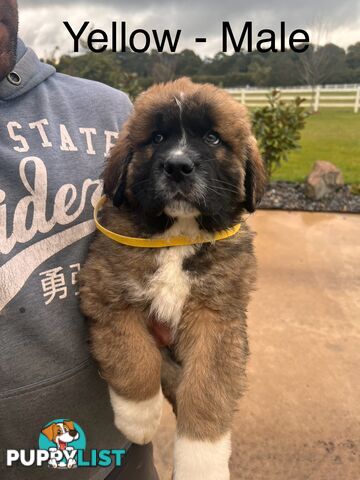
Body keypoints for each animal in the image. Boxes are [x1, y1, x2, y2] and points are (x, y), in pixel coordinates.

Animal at [79, 77, 264, 478]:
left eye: (212, 138)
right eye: (157, 137)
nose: (178, 166)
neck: (178, 234)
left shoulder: (217, 316)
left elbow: (207, 388)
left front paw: (202, 460)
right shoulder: (106, 293)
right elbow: (135, 358)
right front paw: (139, 417)